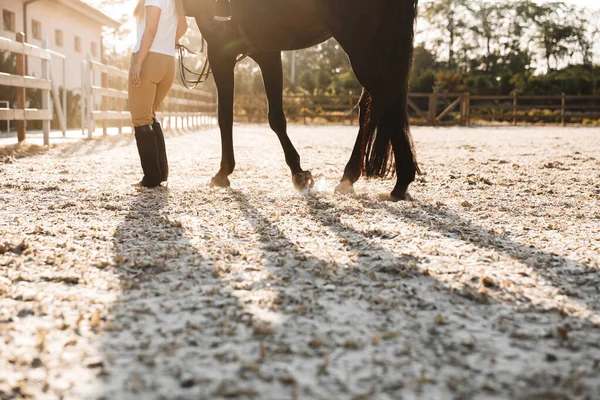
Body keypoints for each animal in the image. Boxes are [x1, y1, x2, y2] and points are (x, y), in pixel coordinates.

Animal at [180, 0, 420, 200]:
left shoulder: (222, 51)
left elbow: (227, 117)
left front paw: (223, 173)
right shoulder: (265, 50)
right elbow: (274, 117)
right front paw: (298, 173)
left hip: (362, 47)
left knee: (384, 102)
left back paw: (401, 182)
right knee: (371, 108)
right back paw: (351, 177)